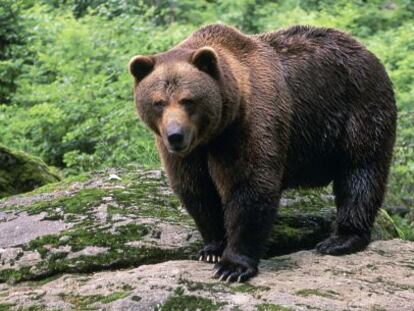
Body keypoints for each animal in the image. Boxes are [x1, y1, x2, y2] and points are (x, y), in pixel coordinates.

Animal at [128, 23, 396, 282]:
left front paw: (232, 266)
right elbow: (197, 190)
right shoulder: (190, 154)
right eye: (159, 102)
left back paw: (340, 239)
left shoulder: (249, 124)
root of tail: (364, 49)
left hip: (359, 108)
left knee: (360, 171)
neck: (215, 131)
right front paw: (212, 249)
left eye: (188, 100)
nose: (175, 135)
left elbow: (250, 186)